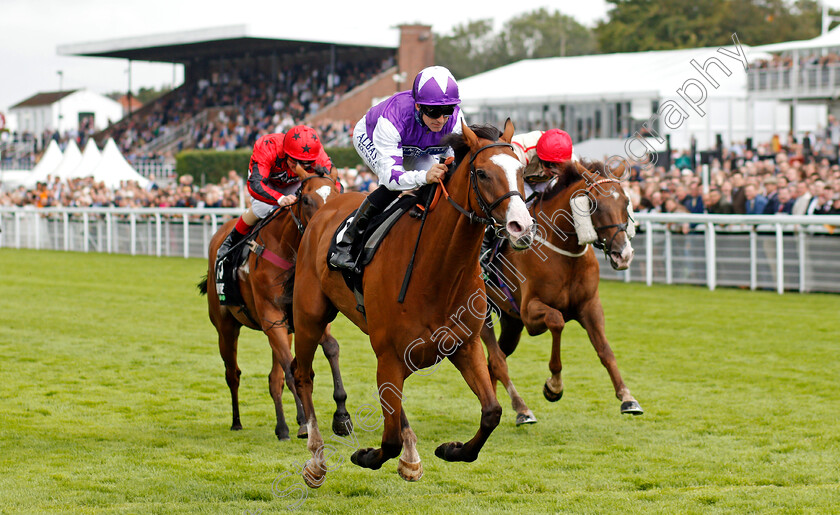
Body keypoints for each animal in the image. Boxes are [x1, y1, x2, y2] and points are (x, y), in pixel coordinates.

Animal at [198, 171, 348, 442]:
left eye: (336, 195)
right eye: (306, 200)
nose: (325, 226)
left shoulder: (306, 317)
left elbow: (331, 349)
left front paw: (340, 414)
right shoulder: (271, 319)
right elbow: (292, 371)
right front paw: (306, 424)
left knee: (273, 379)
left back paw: (283, 427)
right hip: (226, 327)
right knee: (233, 373)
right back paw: (237, 422)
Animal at [282, 121, 532, 488]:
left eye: (522, 171)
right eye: (483, 173)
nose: (522, 227)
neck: (438, 271)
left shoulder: (464, 345)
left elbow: (491, 412)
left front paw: (451, 449)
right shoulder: (388, 355)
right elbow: (388, 440)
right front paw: (364, 455)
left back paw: (410, 456)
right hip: (309, 316)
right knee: (303, 374)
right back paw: (316, 459)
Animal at [480, 161, 644, 428]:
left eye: (626, 202)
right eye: (595, 203)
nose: (624, 255)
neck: (565, 252)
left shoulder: (590, 306)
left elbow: (605, 350)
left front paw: (627, 398)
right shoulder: (530, 313)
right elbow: (557, 321)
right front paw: (554, 386)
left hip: (511, 323)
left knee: (493, 361)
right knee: (497, 360)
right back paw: (522, 408)